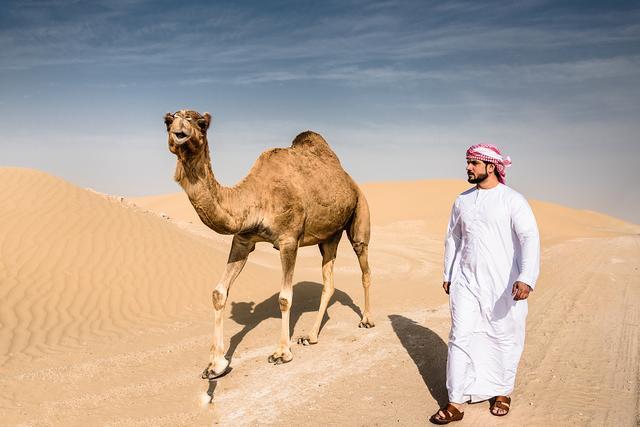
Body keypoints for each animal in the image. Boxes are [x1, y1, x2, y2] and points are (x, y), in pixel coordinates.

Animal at [165, 108, 376, 380]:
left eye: (201, 123)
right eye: (167, 121)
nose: (178, 129)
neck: (255, 197)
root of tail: (350, 180)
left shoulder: (288, 240)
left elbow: (285, 297)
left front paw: (281, 353)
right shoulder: (243, 240)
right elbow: (219, 292)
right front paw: (215, 365)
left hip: (360, 211)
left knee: (364, 266)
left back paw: (367, 320)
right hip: (328, 237)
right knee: (328, 281)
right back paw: (310, 336)